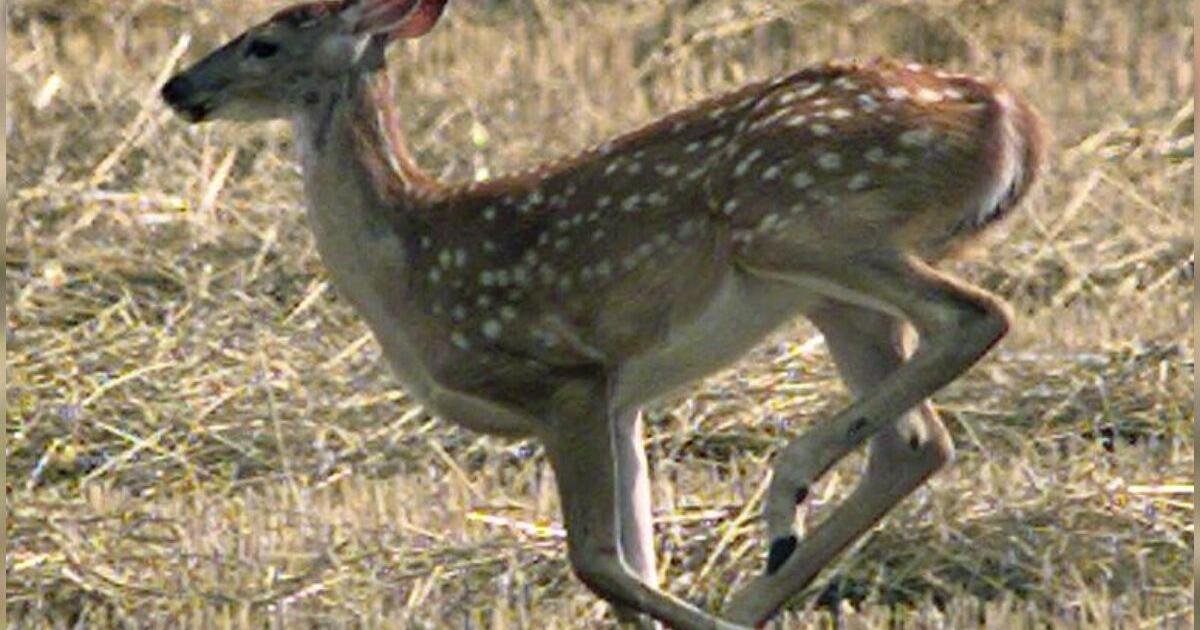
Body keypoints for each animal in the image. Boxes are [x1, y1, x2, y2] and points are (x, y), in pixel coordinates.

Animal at [160, 1, 1045, 627]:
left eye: (263, 43)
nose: (177, 88)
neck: (411, 263)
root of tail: (1009, 116)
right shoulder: (620, 399)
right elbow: (632, 566)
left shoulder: (565, 376)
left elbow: (596, 562)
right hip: (830, 292)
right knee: (915, 440)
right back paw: (761, 582)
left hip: (799, 226)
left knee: (977, 314)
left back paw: (781, 504)